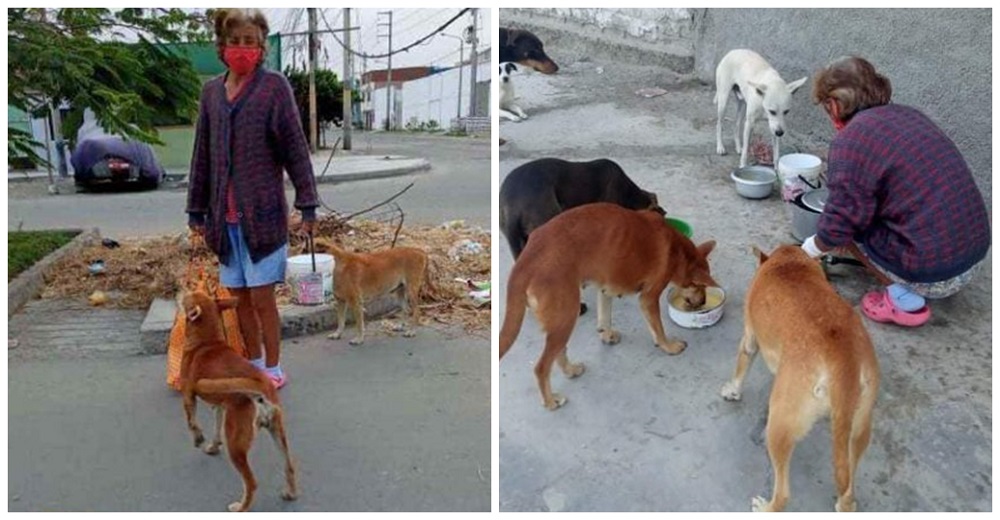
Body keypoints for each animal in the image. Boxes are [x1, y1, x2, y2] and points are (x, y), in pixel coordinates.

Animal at [179, 290, 296, 512]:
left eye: (188, 295)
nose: (180, 291)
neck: (207, 342)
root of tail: (261, 386)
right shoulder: (220, 407)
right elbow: (216, 429)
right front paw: (213, 446)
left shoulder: (188, 396)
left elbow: (191, 422)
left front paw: (198, 439)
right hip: (278, 432)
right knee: (290, 466)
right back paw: (291, 492)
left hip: (236, 444)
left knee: (251, 482)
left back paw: (241, 507)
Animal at [500, 203, 720, 410]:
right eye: (700, 287)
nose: (702, 302)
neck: (678, 250)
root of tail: (525, 261)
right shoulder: (648, 298)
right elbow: (658, 327)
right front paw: (668, 346)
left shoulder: (605, 287)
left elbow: (605, 317)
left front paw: (606, 335)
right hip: (566, 315)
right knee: (542, 367)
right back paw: (551, 400)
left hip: (562, 319)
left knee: (558, 353)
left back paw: (571, 371)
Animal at [724, 245, 880, 512]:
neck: (789, 262)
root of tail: (843, 358)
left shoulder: (750, 338)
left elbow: (741, 366)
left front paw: (732, 390)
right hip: (860, 427)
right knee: (848, 488)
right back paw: (844, 503)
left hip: (779, 424)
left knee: (784, 493)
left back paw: (766, 508)